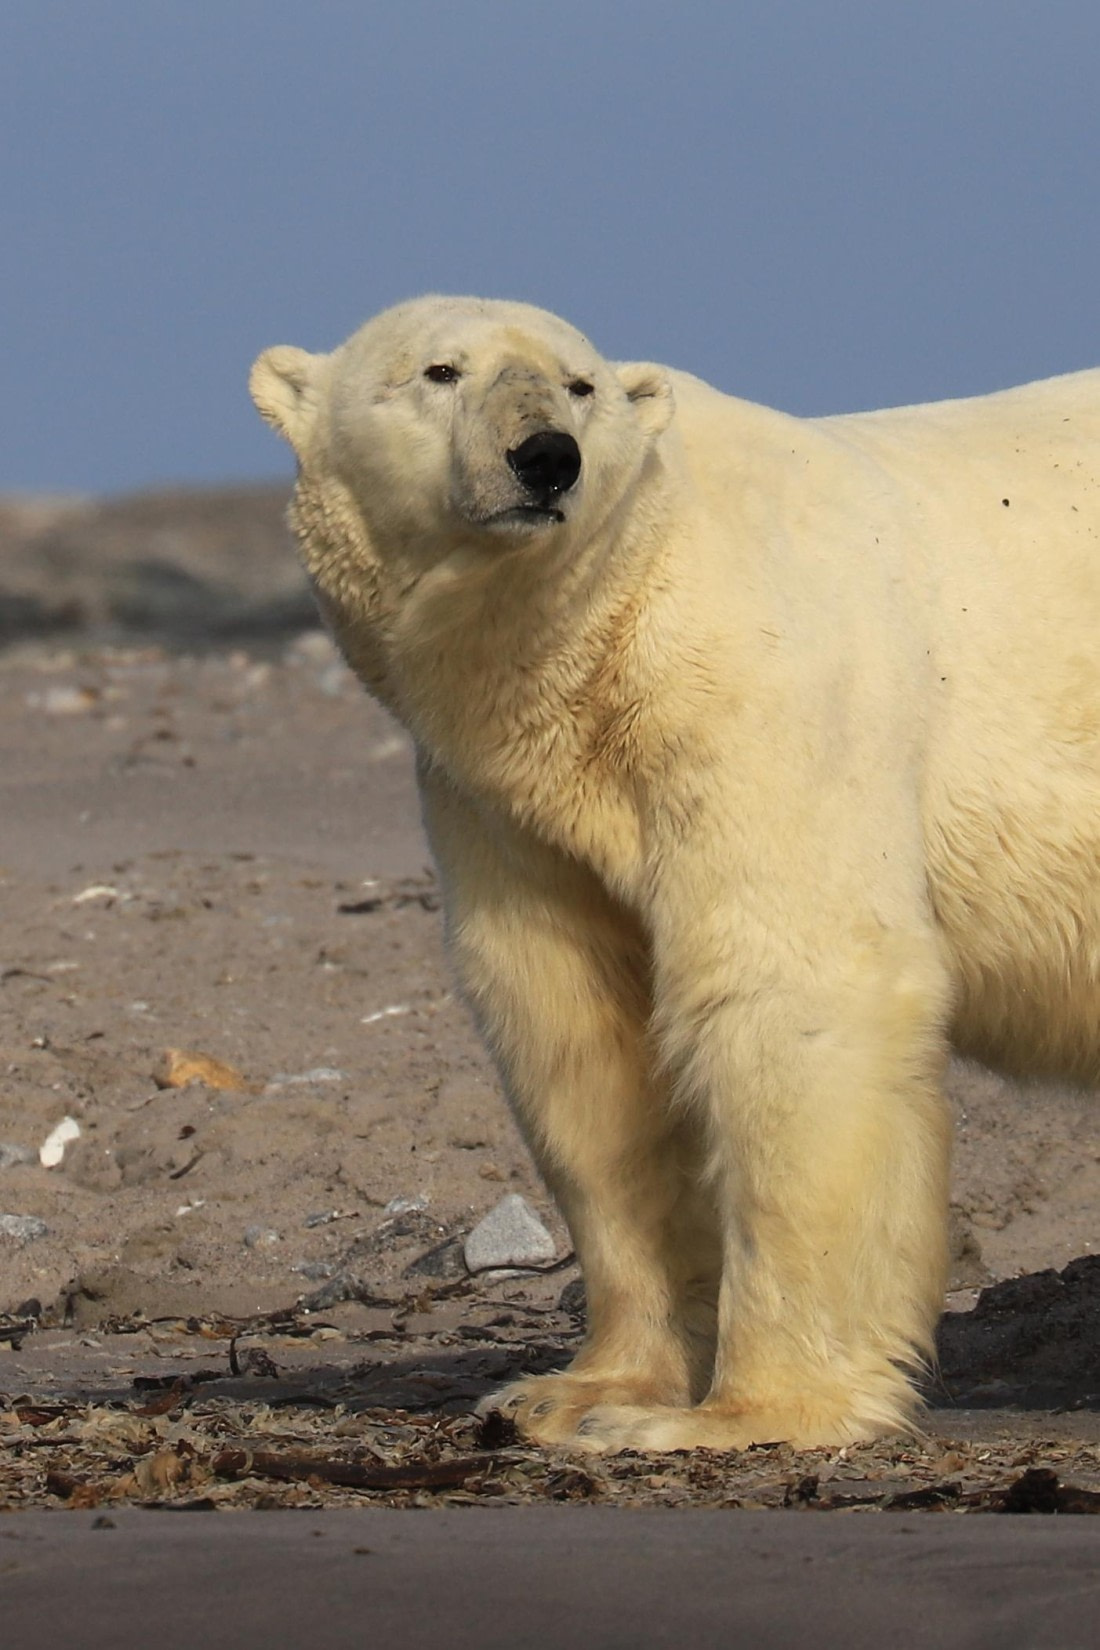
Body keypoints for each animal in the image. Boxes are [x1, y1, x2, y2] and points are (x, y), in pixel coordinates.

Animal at [250, 295, 1100, 1453]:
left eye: (578, 384)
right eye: (438, 370)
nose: (544, 459)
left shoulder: (755, 685)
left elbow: (792, 983)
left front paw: (743, 1412)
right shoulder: (503, 799)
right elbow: (577, 1032)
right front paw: (575, 1391)